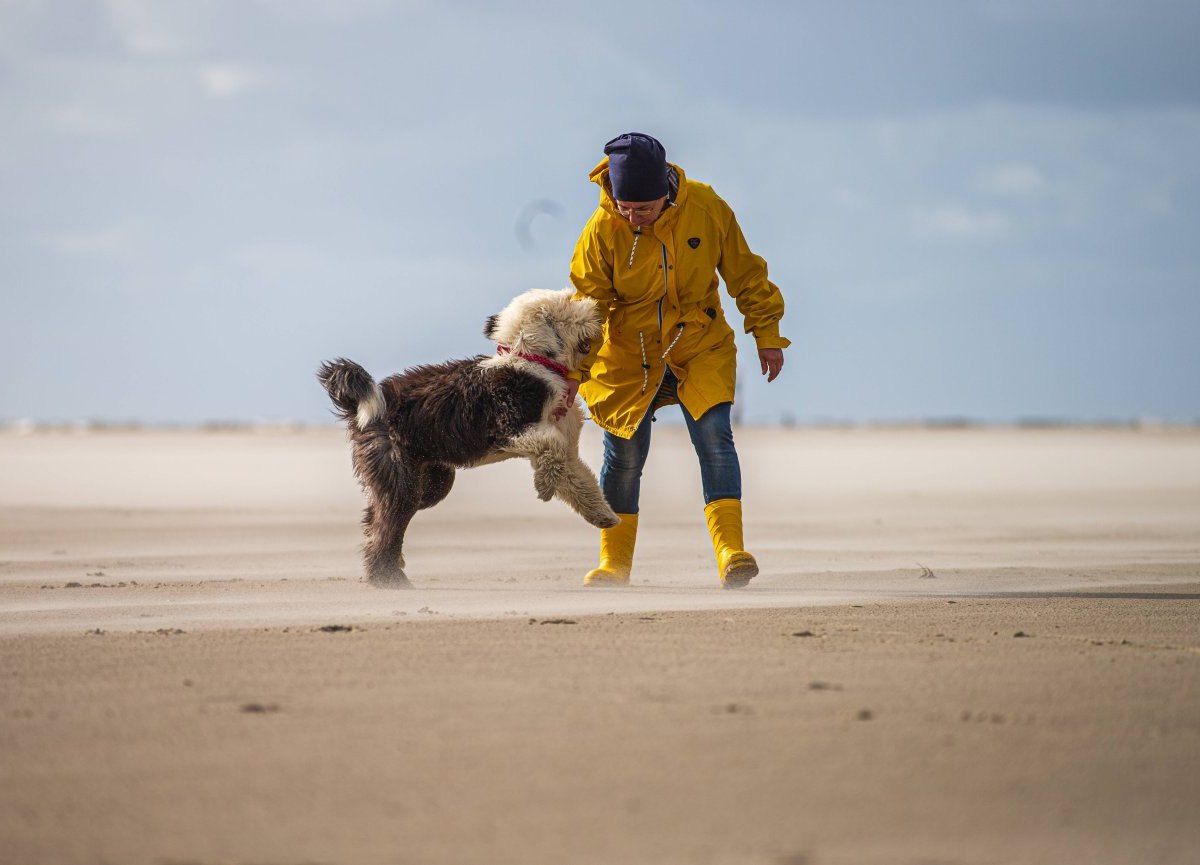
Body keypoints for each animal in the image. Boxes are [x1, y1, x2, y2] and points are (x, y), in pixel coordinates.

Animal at [319, 290, 619, 587]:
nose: (597, 309)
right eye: (569, 302)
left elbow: (578, 479)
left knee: (376, 518)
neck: (532, 361)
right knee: (386, 524)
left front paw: (602, 515)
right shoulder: (511, 428)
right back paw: (388, 578)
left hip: (430, 481)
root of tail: (360, 406)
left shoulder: (564, 449)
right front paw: (544, 486)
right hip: (399, 475)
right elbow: (551, 448)